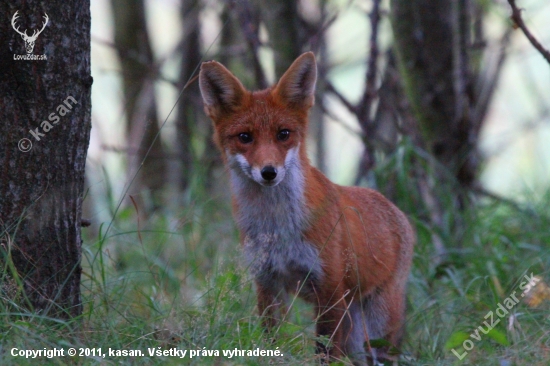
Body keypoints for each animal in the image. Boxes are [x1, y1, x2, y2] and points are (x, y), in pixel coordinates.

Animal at [201, 53, 416, 364]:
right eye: (244, 137)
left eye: (283, 134)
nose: (269, 172)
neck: (277, 226)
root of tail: (396, 211)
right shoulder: (267, 283)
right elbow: (272, 340)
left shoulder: (329, 289)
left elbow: (324, 352)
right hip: (355, 330)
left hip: (377, 325)